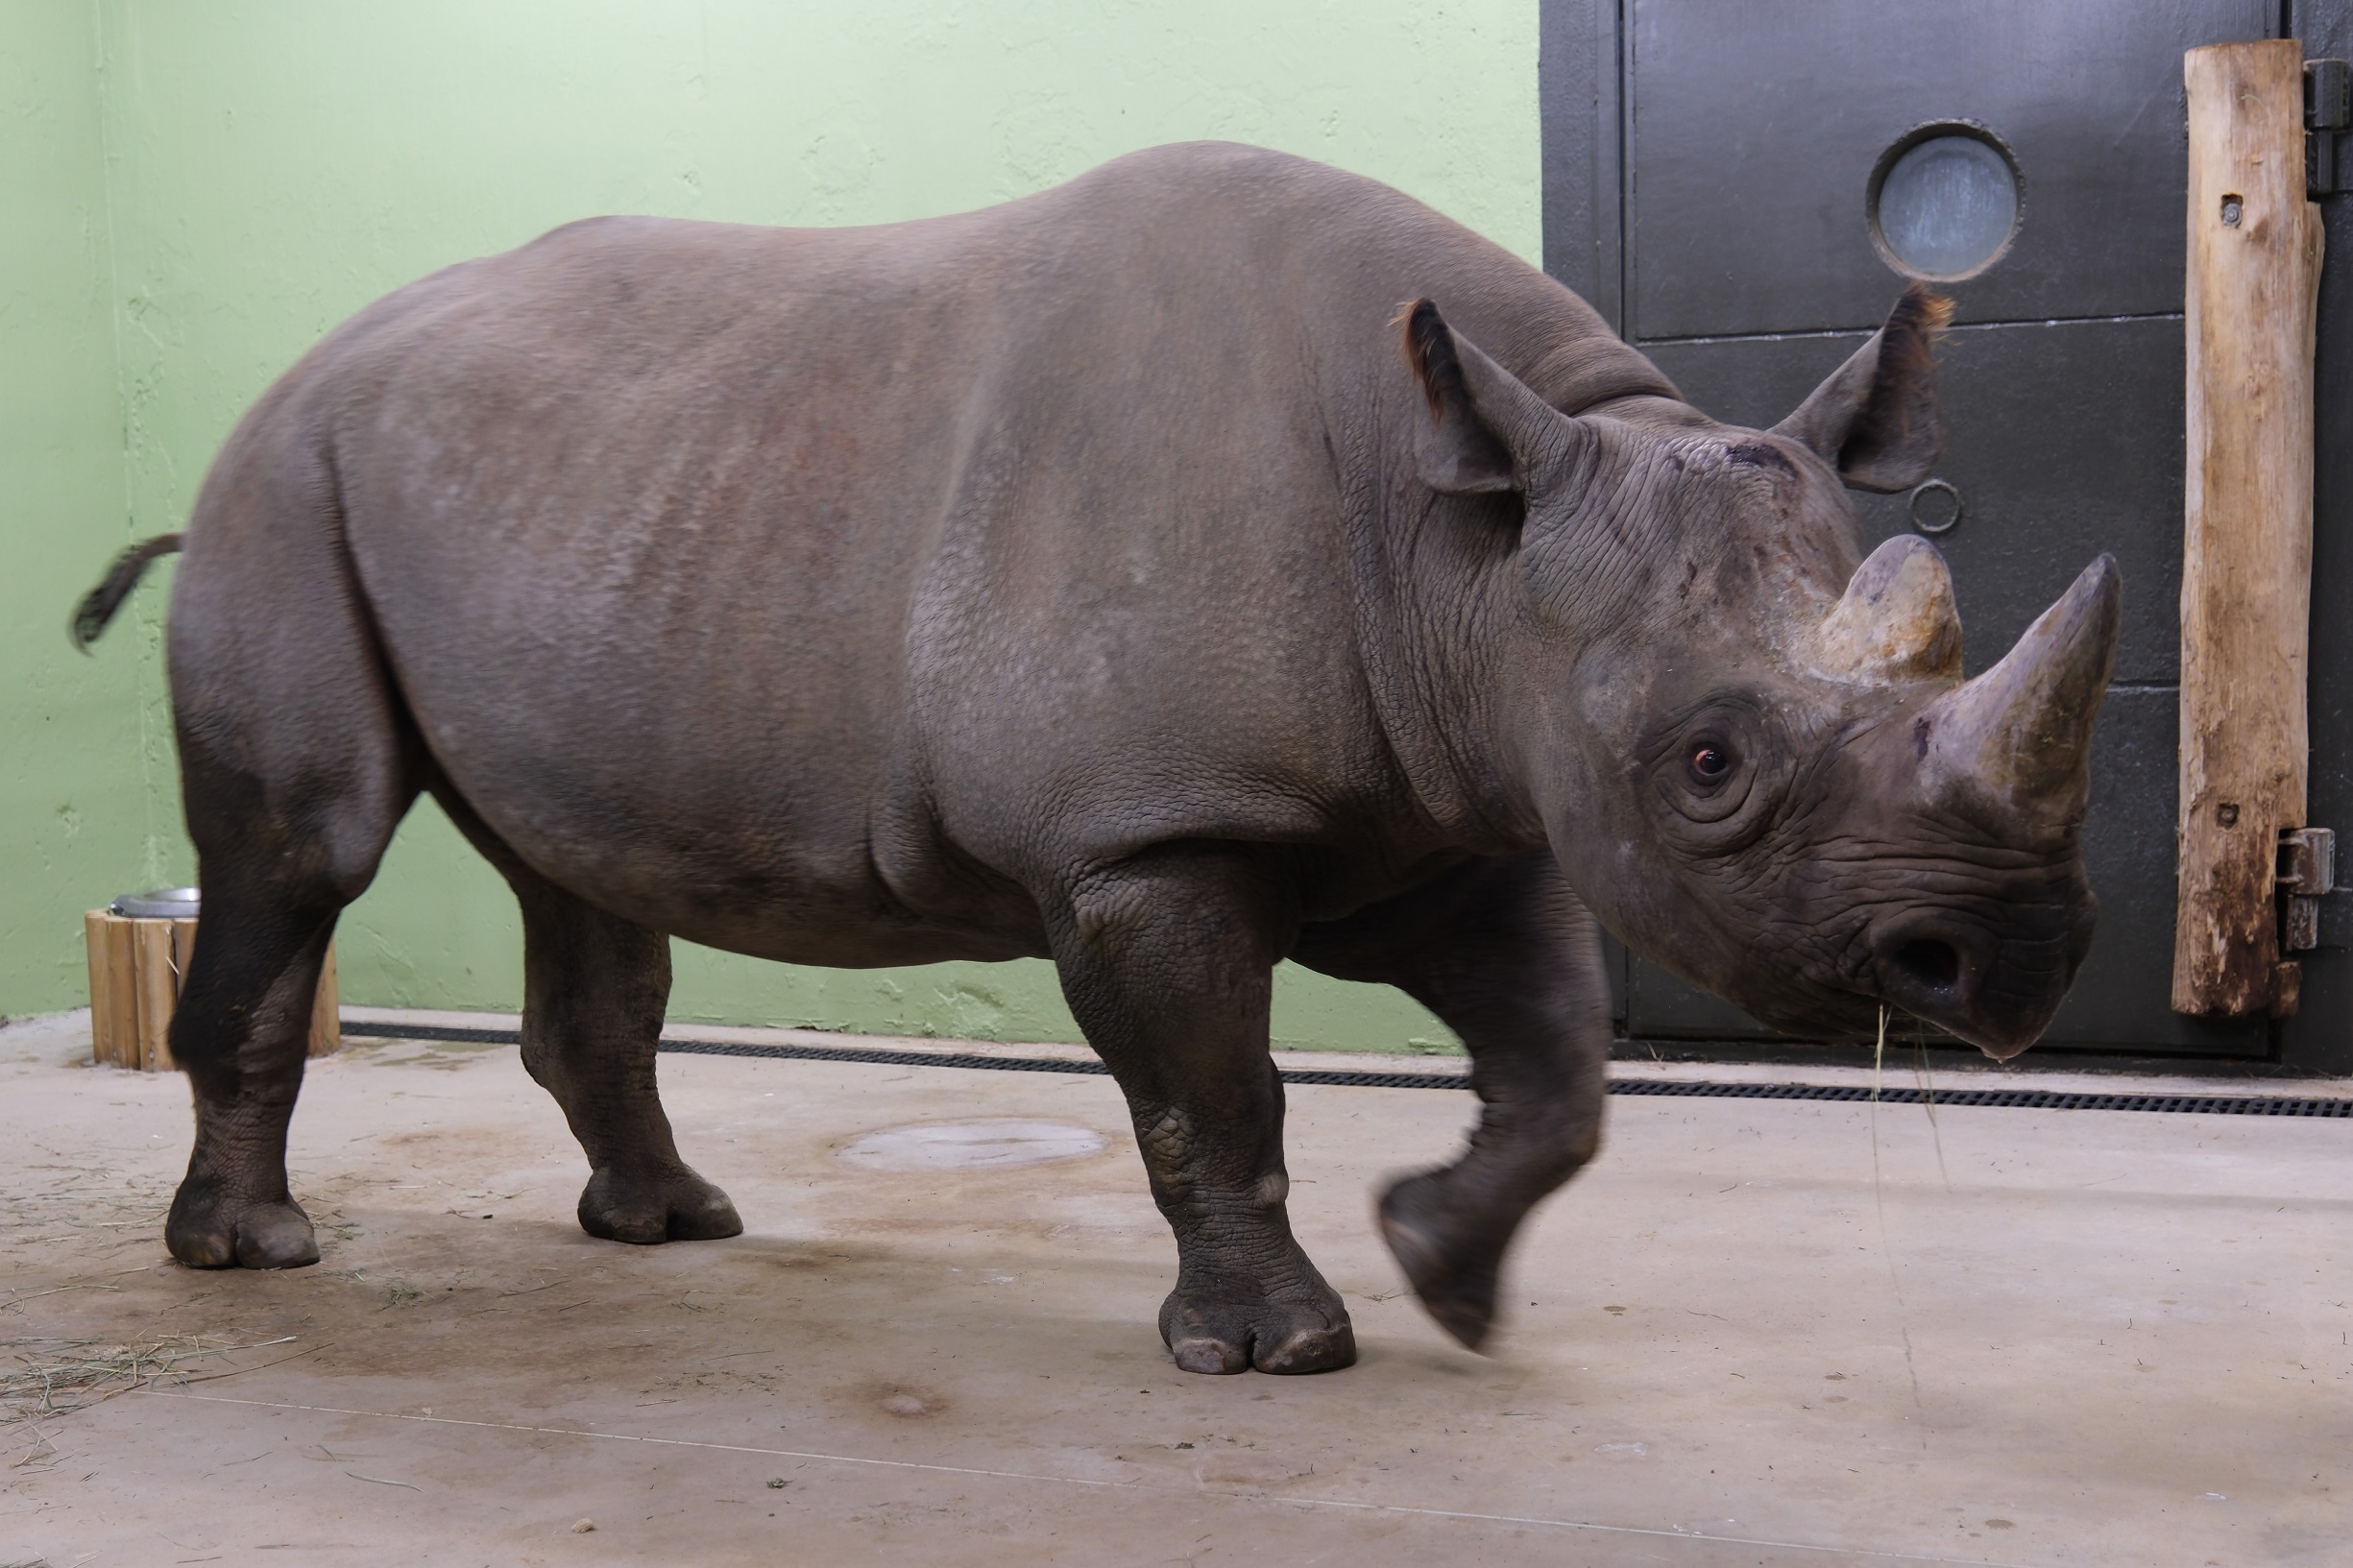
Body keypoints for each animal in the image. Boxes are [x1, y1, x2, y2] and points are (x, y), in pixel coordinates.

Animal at [83, 143, 2126, 1372]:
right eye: (1711, 763)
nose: (2018, 960)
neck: (1463, 546)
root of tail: (291, 376)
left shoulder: (1460, 802)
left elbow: (1560, 1066)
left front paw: (1447, 1271)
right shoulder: (1146, 834)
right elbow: (1213, 1094)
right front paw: (1283, 1350)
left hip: (547, 512)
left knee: (577, 868)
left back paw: (669, 1229)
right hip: (284, 486)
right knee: (310, 847)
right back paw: (255, 1256)